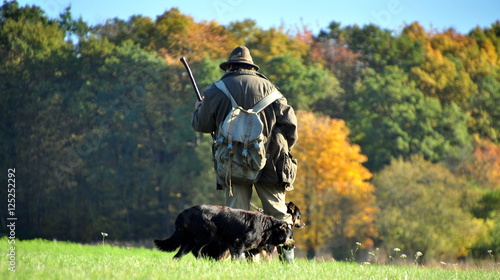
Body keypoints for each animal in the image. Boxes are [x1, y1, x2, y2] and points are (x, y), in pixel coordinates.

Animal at [153, 203, 292, 260]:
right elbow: (237, 257)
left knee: (178, 256)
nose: (291, 243)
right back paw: (203, 261)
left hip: (189, 241)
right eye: (289, 235)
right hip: (207, 235)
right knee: (196, 251)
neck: (266, 226)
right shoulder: (240, 243)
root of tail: (184, 213)